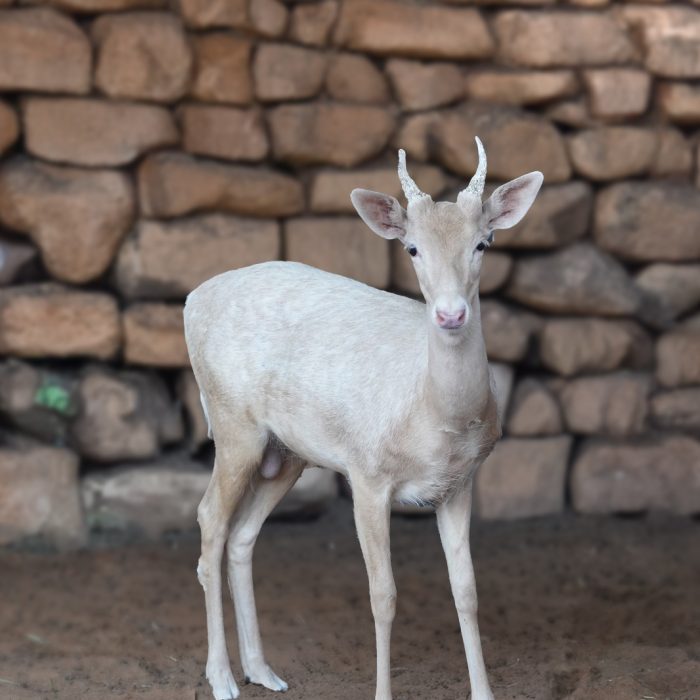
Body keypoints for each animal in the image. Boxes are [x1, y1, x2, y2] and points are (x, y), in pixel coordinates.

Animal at [184, 137, 543, 700]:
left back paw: (262, 670)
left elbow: (466, 590)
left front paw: (485, 693)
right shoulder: (367, 474)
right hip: (232, 424)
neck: (431, 415)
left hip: (287, 454)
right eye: (412, 249)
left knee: (243, 535)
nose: (451, 314)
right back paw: (222, 678)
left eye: (484, 243)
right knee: (209, 522)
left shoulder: (460, 483)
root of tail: (190, 300)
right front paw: (382, 692)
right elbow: (383, 595)